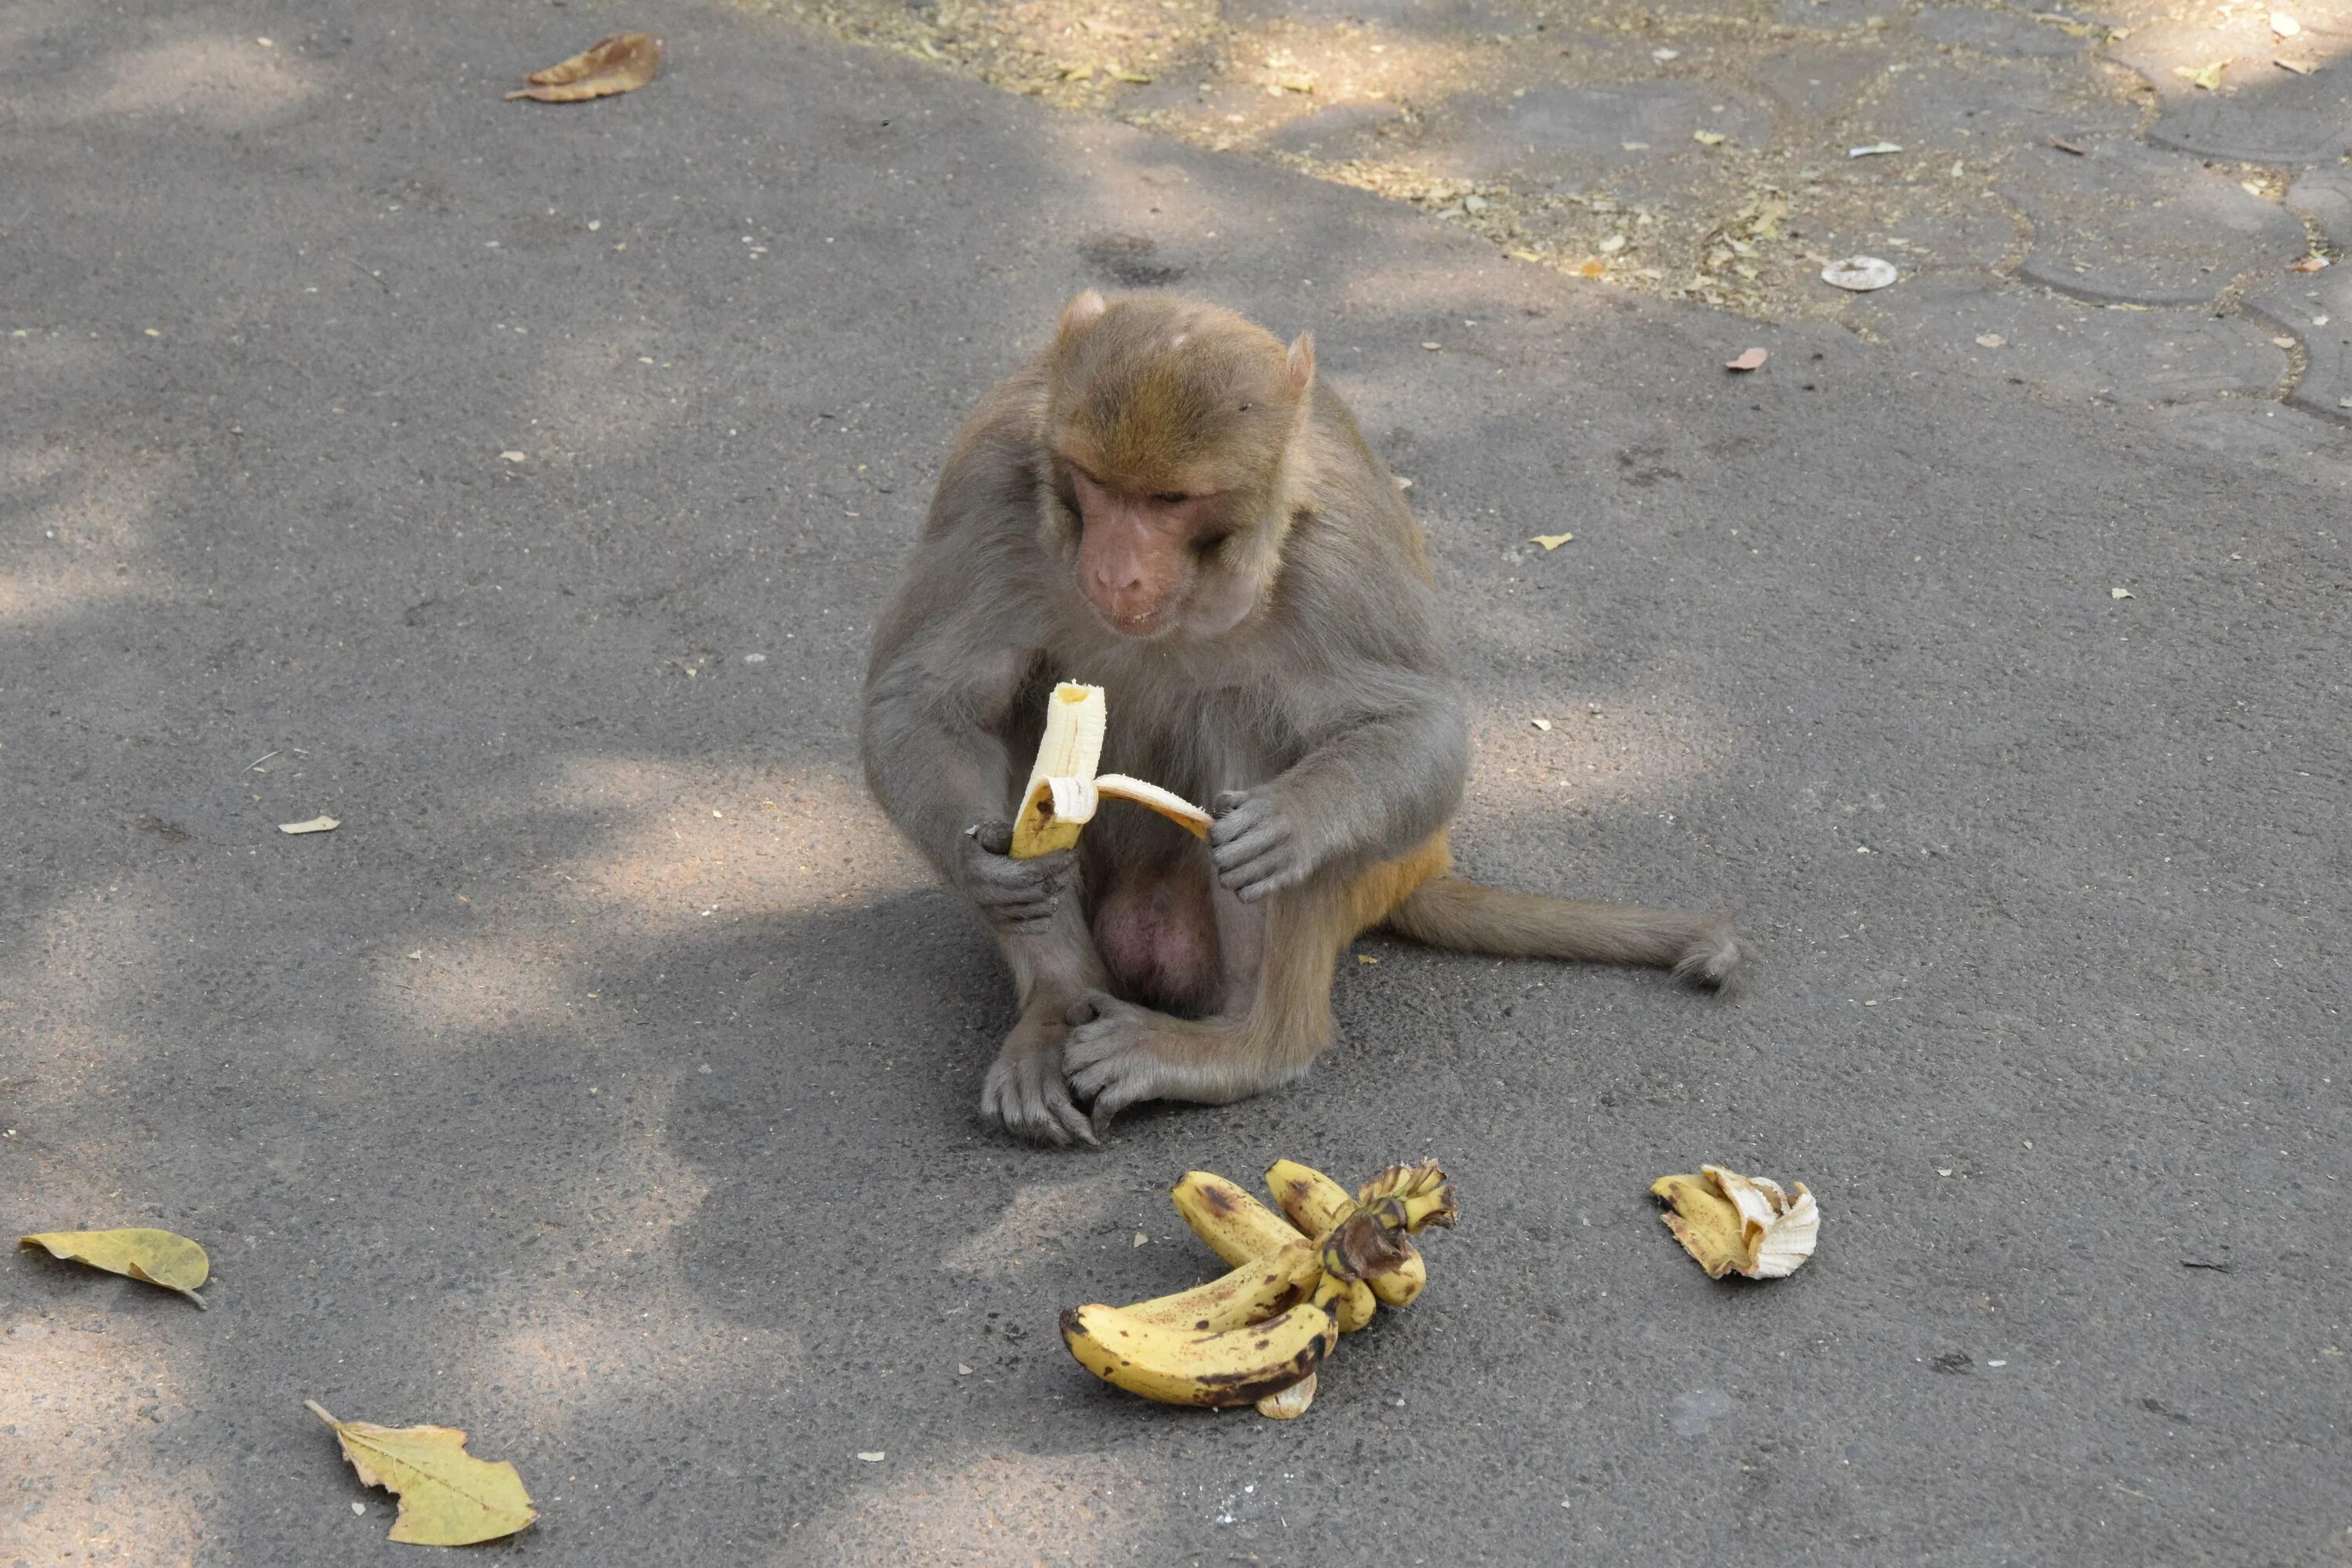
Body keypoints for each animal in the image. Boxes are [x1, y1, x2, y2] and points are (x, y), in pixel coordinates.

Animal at [861, 293, 1731, 1147]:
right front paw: (988, 865)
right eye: (1095, 481)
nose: (1116, 570)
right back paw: (1057, 1005)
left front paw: (1295, 820)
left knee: (1248, 720)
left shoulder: (1341, 545)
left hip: (1378, 862)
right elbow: (922, 702)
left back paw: (1250, 1046)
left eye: (1170, 500)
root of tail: (1422, 871)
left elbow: (1421, 728)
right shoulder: (989, 478)